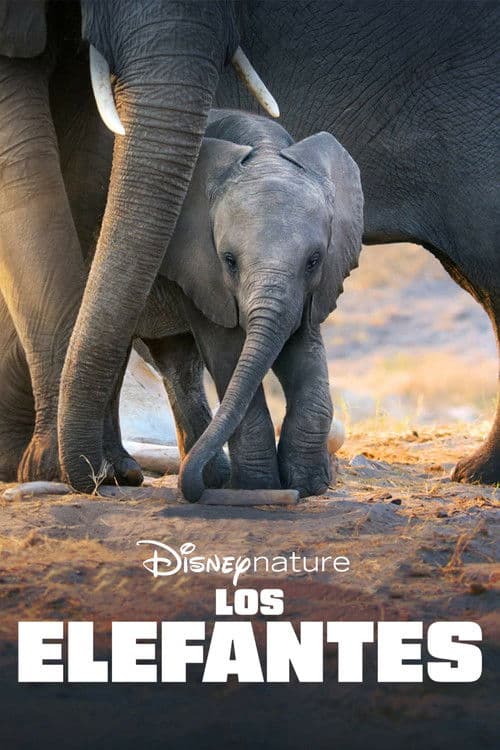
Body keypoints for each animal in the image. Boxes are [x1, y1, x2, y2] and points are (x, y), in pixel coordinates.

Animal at [0, 1, 498, 491]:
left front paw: (307, 484)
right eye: (229, 261)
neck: (264, 148)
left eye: (315, 260)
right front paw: (261, 485)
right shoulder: (204, 270)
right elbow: (227, 350)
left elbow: (302, 347)